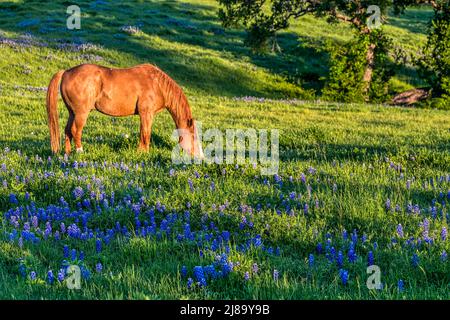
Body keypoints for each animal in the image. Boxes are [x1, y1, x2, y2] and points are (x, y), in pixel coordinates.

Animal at [44, 62, 203, 158]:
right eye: (193, 136)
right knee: (76, 131)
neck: (157, 84)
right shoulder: (146, 114)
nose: (200, 157)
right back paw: (79, 151)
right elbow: (145, 134)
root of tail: (66, 72)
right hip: (81, 114)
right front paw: (143, 153)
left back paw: (68, 153)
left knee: (67, 131)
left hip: (72, 113)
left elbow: (143, 133)